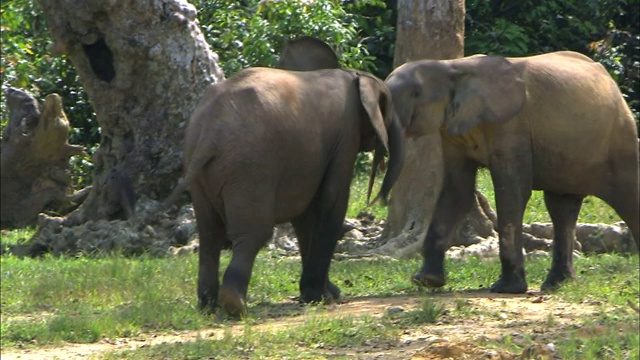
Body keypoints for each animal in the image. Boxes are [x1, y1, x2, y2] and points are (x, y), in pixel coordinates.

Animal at [174, 65, 404, 318]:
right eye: (389, 107)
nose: (377, 202)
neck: (355, 75)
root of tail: (210, 134)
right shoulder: (346, 135)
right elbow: (332, 200)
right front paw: (320, 298)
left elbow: (305, 214)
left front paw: (323, 295)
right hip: (249, 169)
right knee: (253, 233)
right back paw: (236, 306)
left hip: (201, 168)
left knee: (209, 234)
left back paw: (208, 306)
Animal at [384, 50, 640, 292]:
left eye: (416, 94)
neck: (452, 67)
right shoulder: (451, 129)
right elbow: (457, 192)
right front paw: (426, 281)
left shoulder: (512, 122)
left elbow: (511, 191)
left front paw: (506, 289)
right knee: (561, 207)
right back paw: (556, 285)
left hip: (621, 138)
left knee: (628, 198)